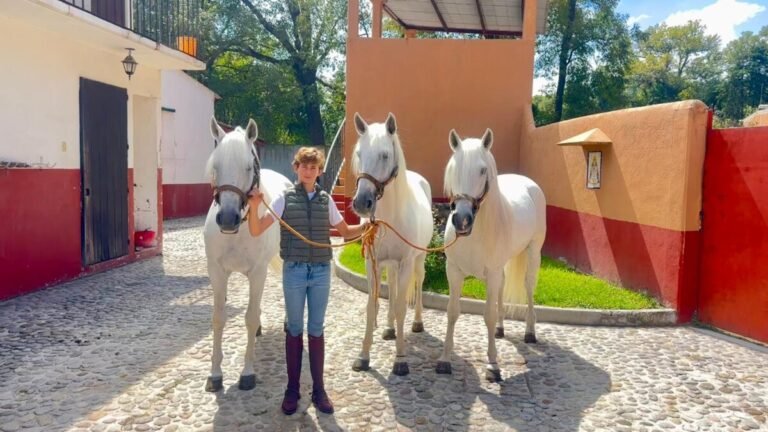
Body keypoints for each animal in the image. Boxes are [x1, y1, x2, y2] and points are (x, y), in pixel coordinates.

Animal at [203, 117, 292, 392]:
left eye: (248, 167)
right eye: (216, 166)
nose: (227, 218)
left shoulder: (258, 272)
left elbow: (249, 318)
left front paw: (247, 373)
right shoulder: (217, 272)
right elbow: (218, 318)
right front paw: (215, 374)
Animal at [350, 112, 434, 376]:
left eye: (385, 155)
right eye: (359, 153)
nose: (361, 203)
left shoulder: (406, 262)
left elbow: (400, 307)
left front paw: (400, 359)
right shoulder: (372, 262)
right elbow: (373, 305)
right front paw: (363, 356)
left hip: (418, 260)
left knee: (418, 284)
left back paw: (417, 322)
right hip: (389, 265)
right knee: (393, 287)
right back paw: (388, 329)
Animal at [437, 128, 546, 382]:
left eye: (482, 170)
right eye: (454, 168)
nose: (462, 220)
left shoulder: (492, 273)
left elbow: (487, 315)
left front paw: (493, 365)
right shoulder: (453, 271)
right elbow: (452, 311)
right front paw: (445, 360)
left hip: (533, 252)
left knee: (529, 287)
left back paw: (530, 331)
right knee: (503, 289)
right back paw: (500, 329)